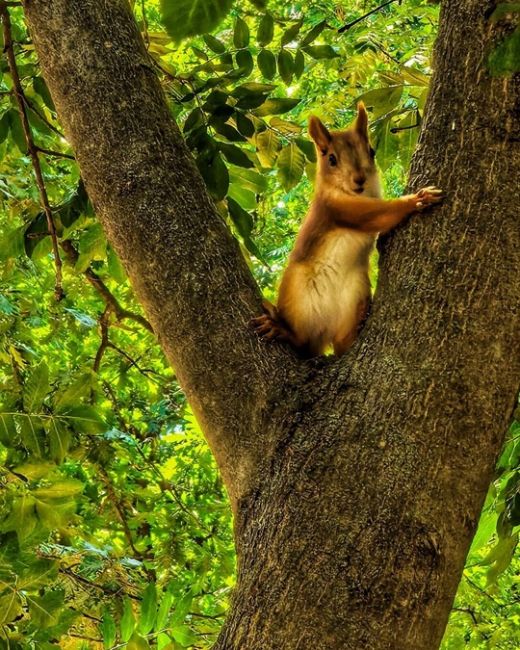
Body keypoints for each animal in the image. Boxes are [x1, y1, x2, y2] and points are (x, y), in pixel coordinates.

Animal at [253, 100, 442, 360]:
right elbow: (377, 214)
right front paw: (416, 199)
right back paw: (284, 331)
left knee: (344, 341)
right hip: (298, 300)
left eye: (371, 151)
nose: (359, 179)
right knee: (300, 341)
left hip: (353, 299)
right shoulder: (336, 208)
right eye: (331, 159)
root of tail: (323, 335)